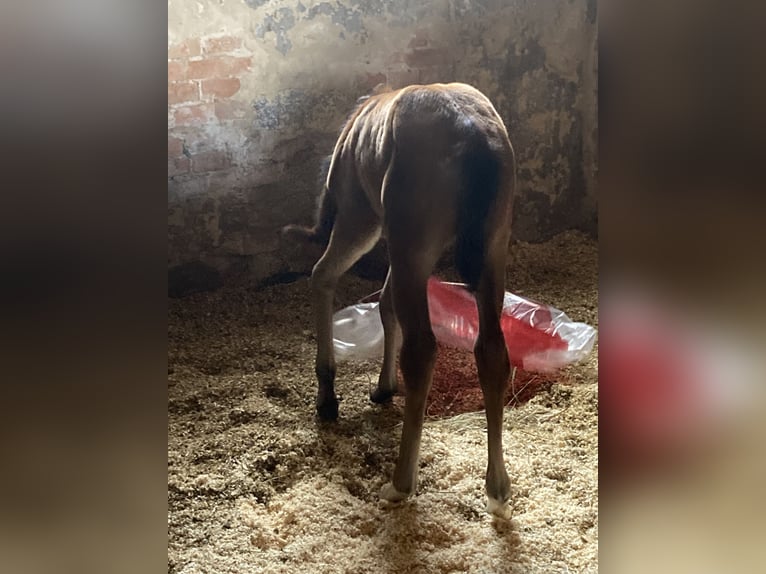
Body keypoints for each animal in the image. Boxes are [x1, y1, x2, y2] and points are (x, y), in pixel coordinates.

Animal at [282, 82, 516, 518]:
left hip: (405, 243)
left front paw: (327, 395)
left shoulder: (364, 218)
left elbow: (323, 276)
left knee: (421, 348)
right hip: (490, 250)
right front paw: (382, 388)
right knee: (492, 351)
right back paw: (497, 490)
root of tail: (472, 133)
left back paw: (400, 484)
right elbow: (385, 303)